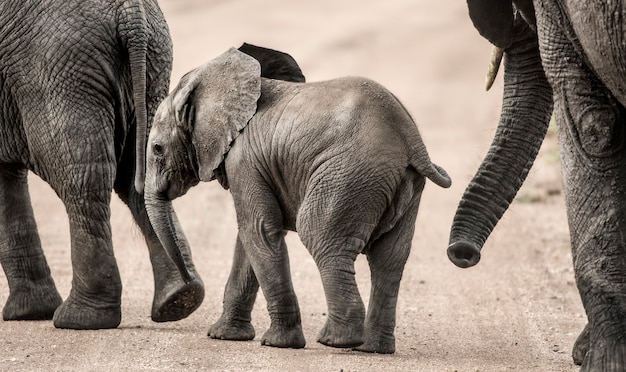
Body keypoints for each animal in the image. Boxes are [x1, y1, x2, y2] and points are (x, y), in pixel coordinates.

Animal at [0, 0, 202, 332]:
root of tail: (131, 12)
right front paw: (29, 313)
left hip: (58, 70)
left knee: (82, 179)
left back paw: (80, 319)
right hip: (150, 66)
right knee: (140, 172)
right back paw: (180, 298)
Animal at [144, 45, 450, 354]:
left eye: (157, 149)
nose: (187, 288)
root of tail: (411, 140)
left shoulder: (244, 160)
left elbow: (259, 231)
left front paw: (278, 343)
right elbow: (250, 239)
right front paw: (223, 336)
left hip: (349, 174)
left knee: (320, 236)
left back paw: (336, 340)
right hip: (402, 186)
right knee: (390, 257)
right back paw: (374, 348)